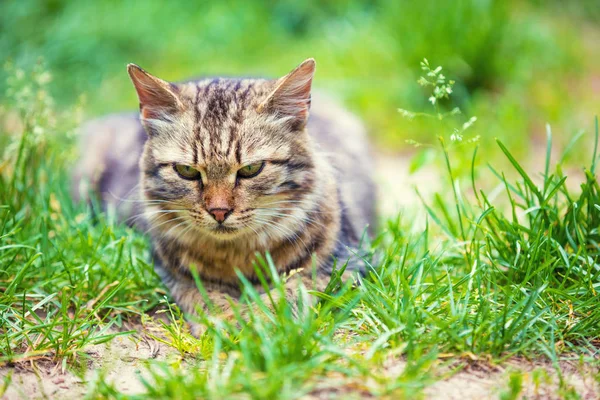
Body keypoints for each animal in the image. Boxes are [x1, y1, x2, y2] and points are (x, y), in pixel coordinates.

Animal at [74, 59, 376, 334]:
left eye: (251, 169)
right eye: (186, 171)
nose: (219, 211)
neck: (237, 257)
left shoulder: (345, 263)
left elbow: (290, 290)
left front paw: (258, 320)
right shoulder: (174, 273)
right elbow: (206, 297)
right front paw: (229, 321)